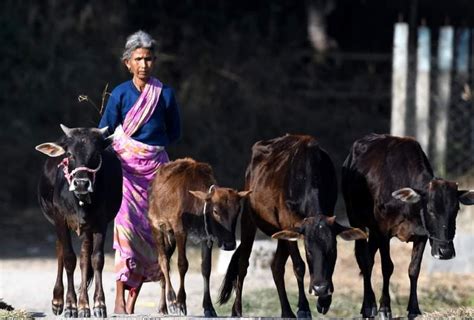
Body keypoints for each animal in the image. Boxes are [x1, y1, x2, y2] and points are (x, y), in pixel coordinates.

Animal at [36, 125, 123, 318]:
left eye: (96, 154)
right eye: (69, 154)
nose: (81, 183)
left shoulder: (101, 223)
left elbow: (96, 259)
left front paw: (98, 304)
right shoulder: (61, 220)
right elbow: (69, 258)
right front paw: (70, 305)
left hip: (86, 229)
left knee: (84, 258)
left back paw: (84, 305)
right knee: (61, 251)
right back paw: (58, 301)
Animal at [148, 156, 252, 316]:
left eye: (238, 210)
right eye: (215, 211)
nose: (229, 244)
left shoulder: (206, 238)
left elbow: (206, 269)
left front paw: (208, 307)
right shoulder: (180, 232)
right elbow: (182, 264)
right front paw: (180, 303)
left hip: (170, 236)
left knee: (164, 263)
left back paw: (162, 306)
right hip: (157, 226)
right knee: (163, 260)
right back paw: (170, 299)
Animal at [218, 134, 366, 318]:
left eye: (333, 249)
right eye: (308, 250)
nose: (320, 288)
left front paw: (323, 301)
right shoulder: (289, 222)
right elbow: (299, 266)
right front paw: (303, 308)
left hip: (281, 232)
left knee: (276, 266)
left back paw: (287, 311)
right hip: (249, 218)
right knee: (243, 263)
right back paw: (237, 309)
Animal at [340, 132, 474, 318]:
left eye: (456, 209)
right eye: (430, 209)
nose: (445, 252)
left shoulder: (421, 235)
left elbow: (414, 269)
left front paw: (414, 309)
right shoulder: (383, 232)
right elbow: (387, 267)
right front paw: (384, 308)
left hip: (373, 233)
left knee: (369, 259)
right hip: (357, 222)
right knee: (364, 260)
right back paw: (368, 306)